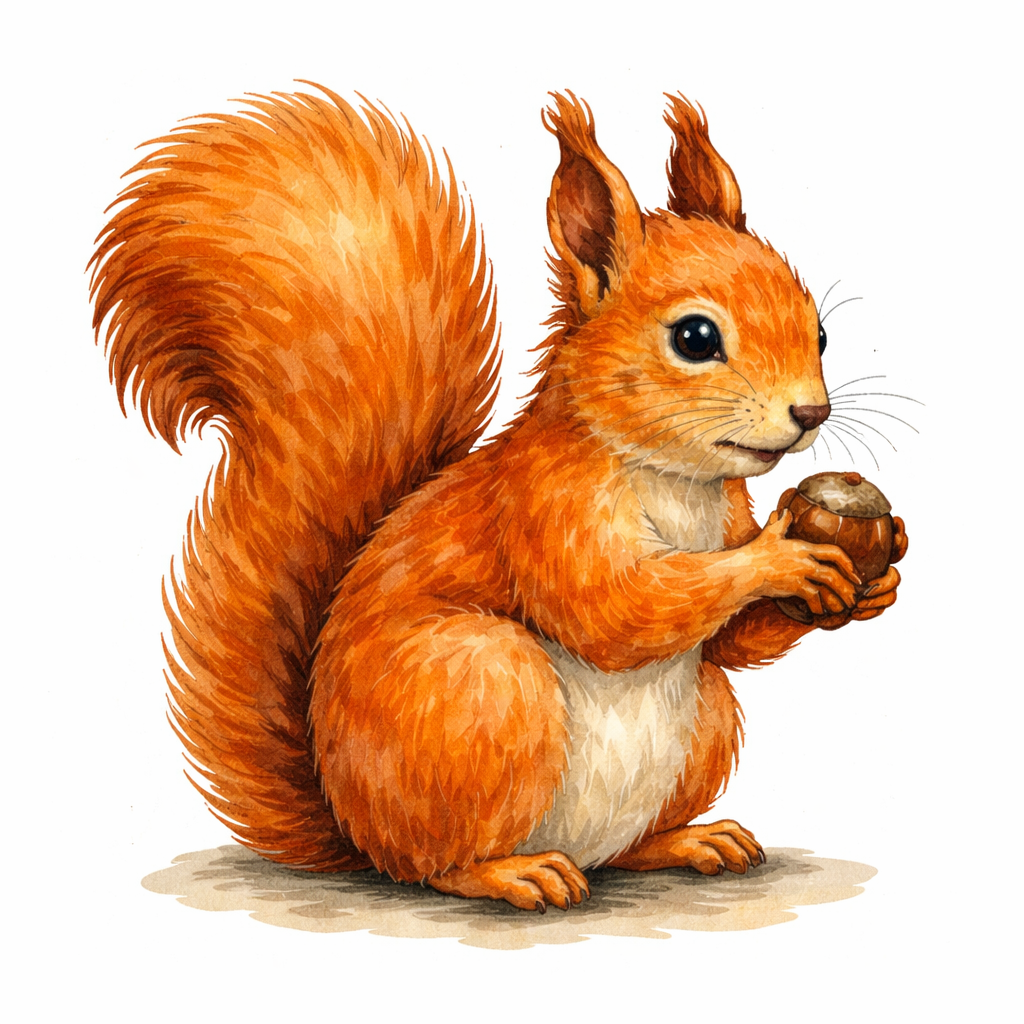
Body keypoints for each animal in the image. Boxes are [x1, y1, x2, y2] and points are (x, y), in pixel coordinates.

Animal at [89, 85, 907, 911]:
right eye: (695, 338)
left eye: (821, 332)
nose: (811, 412)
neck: (675, 479)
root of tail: (355, 831)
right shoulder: (545, 506)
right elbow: (611, 610)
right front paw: (781, 557)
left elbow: (729, 644)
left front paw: (877, 572)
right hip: (484, 689)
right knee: (437, 865)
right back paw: (514, 872)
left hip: (704, 719)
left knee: (629, 838)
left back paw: (688, 841)